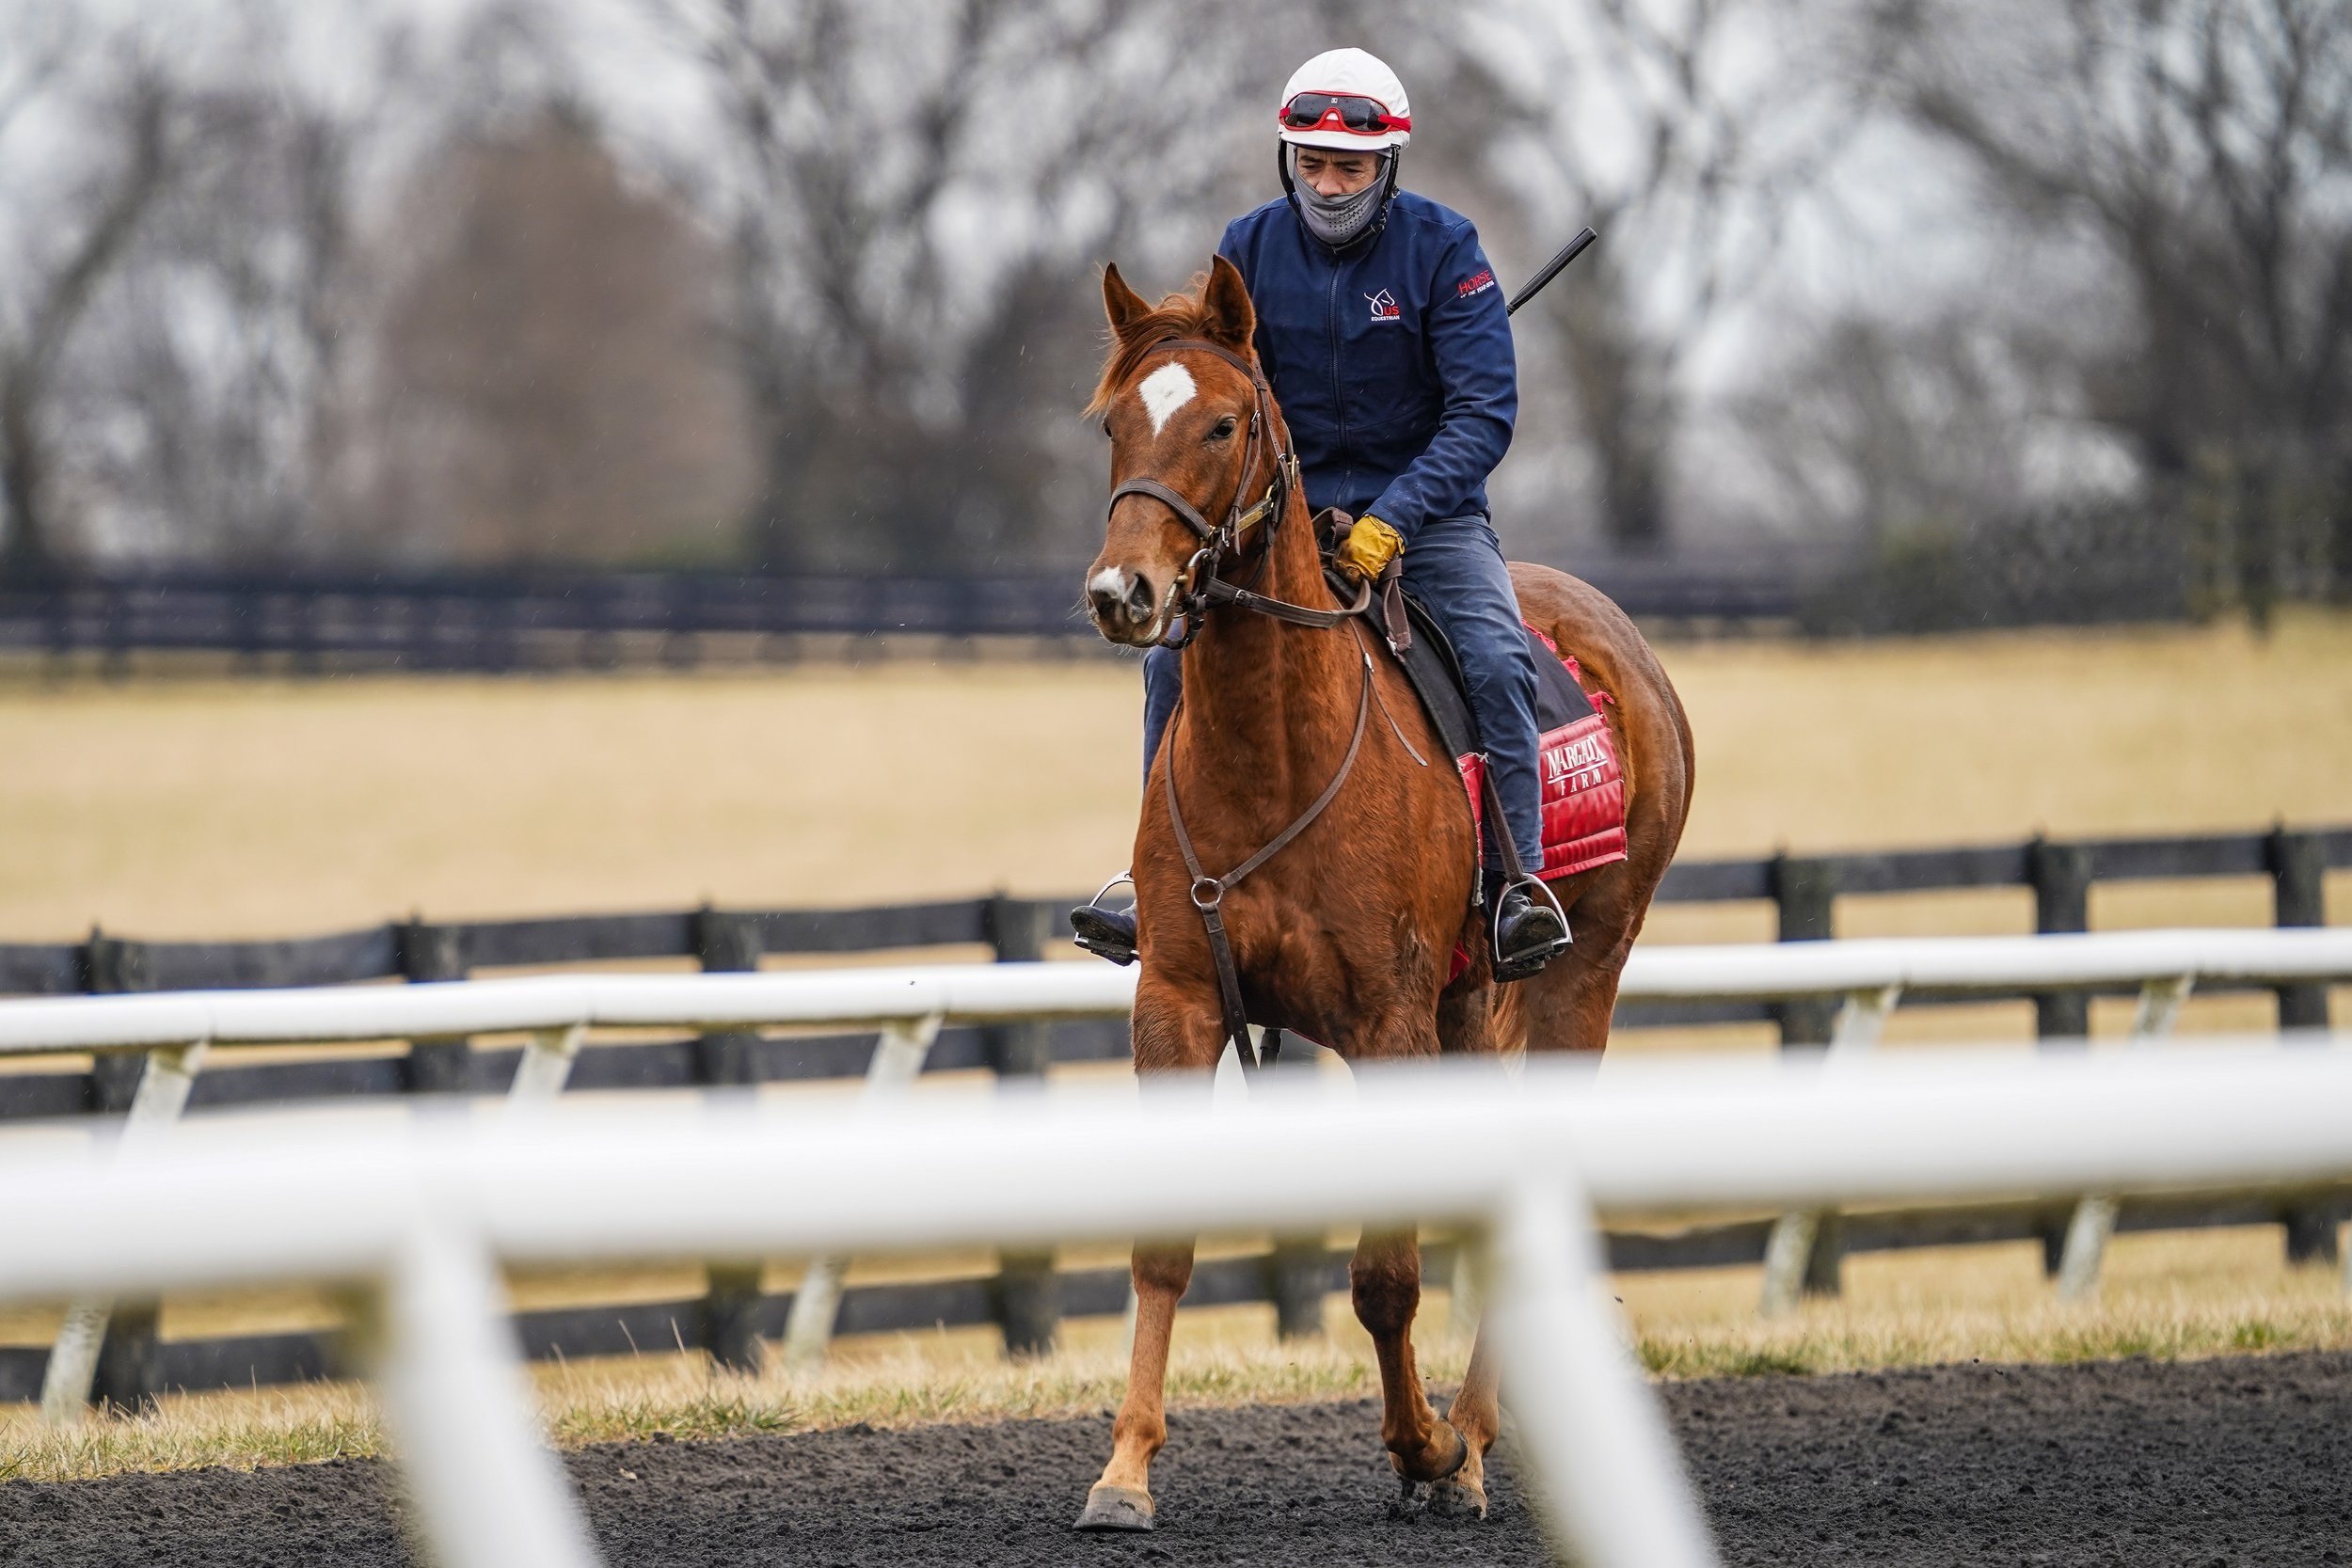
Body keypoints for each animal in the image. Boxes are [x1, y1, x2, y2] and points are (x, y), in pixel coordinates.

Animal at [1068, 257, 1693, 1532]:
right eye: (1115, 424)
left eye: (1223, 422)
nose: (1124, 593)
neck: (1275, 750)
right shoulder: (1177, 1000)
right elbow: (1163, 1245)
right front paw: (1126, 1468)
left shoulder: (1387, 1020)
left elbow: (1385, 1275)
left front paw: (1425, 1445)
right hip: (1470, 1007)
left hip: (1578, 978)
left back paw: (1473, 1439)